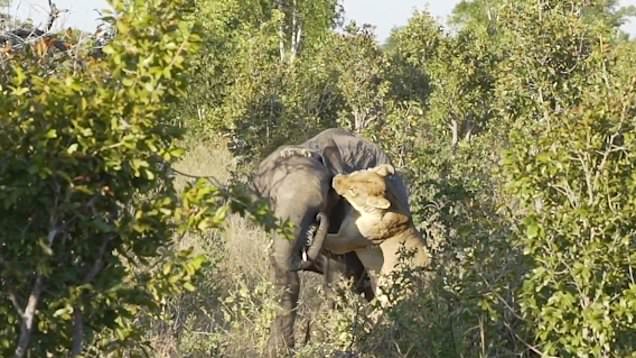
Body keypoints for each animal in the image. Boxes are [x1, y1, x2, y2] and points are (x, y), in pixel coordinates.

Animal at [248, 128, 402, 356]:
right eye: (272, 200)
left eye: (319, 205)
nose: (317, 224)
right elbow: (286, 280)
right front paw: (279, 351)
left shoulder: (348, 218)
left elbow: (337, 280)